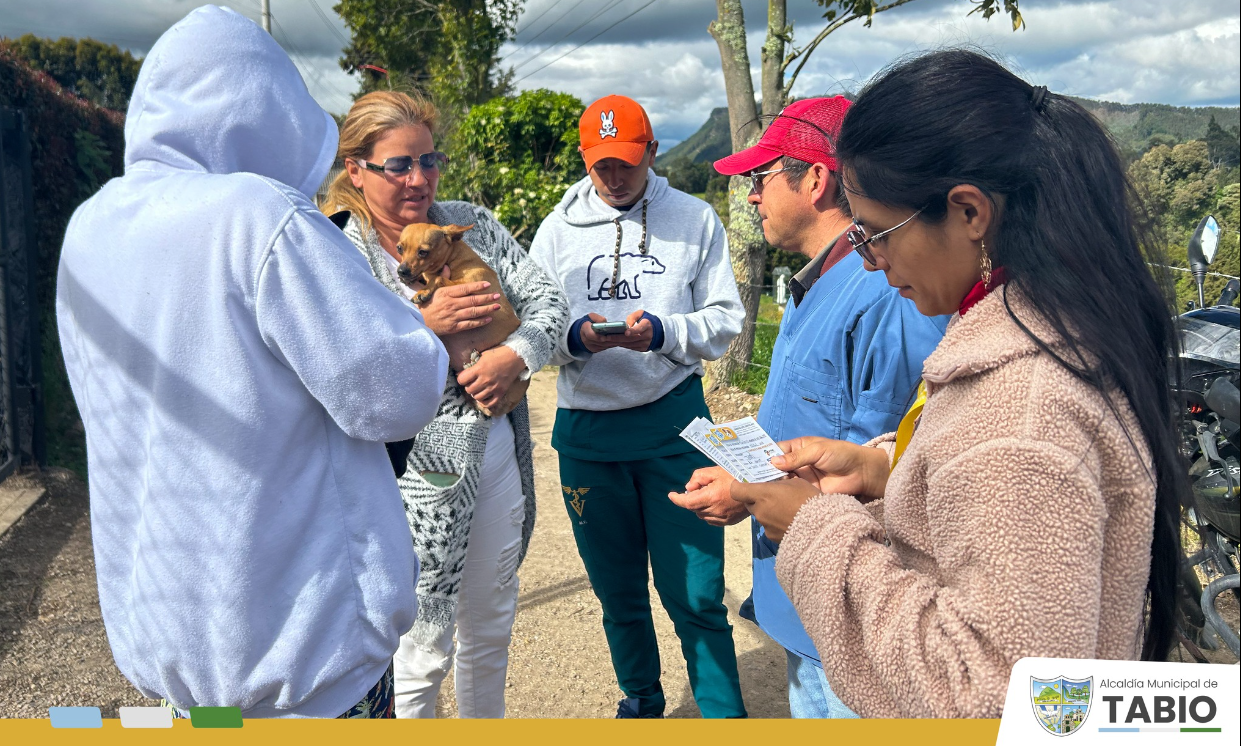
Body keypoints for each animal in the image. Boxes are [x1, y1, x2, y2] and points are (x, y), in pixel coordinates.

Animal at [394, 220, 526, 419]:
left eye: (423, 252)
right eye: (399, 248)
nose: (402, 271)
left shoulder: (474, 288)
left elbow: (438, 278)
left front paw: (424, 291)